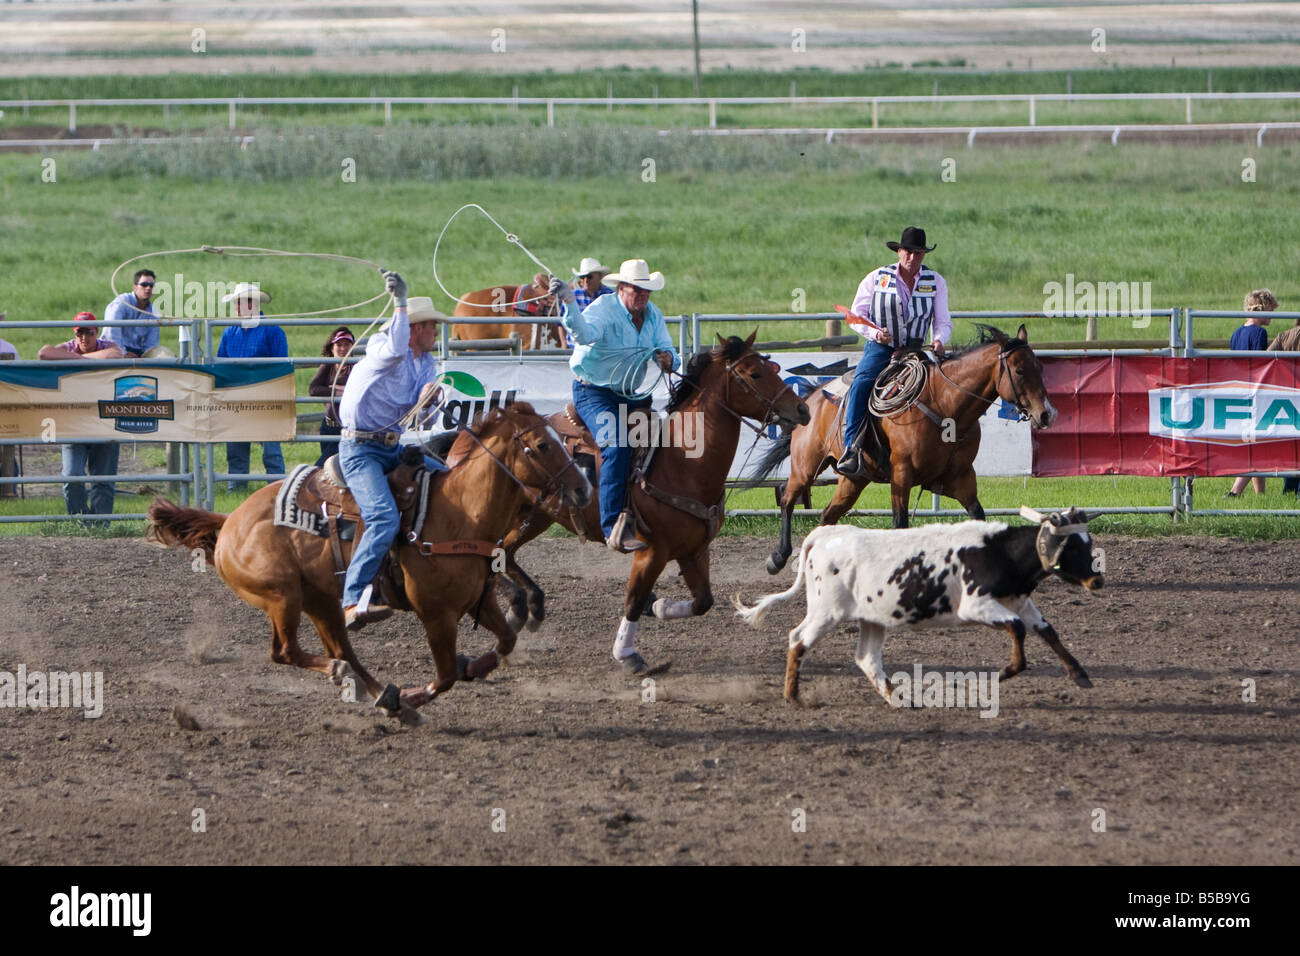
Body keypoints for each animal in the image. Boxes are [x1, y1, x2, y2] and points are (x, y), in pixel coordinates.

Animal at [146, 400, 590, 723]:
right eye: (544, 445)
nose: (584, 489)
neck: (461, 513)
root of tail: (230, 521)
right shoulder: (437, 614)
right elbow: (445, 676)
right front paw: (420, 692)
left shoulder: (480, 602)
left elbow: (505, 641)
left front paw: (468, 668)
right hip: (282, 597)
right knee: (287, 651)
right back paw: (364, 685)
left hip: (321, 600)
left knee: (343, 651)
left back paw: (382, 695)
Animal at [496, 332, 811, 676]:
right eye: (755, 374)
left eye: (773, 367)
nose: (803, 409)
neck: (683, 461)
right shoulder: (651, 552)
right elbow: (633, 600)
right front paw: (626, 653)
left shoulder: (694, 551)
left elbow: (703, 602)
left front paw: (658, 606)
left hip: (538, 515)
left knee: (505, 551)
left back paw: (527, 607)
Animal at [738, 509, 1102, 702]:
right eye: (1072, 546)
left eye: (1089, 543)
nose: (1096, 581)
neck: (1000, 551)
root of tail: (824, 535)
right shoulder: (976, 605)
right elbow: (1017, 629)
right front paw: (1006, 671)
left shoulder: (1020, 601)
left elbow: (1047, 631)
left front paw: (1080, 674)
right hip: (826, 612)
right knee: (798, 639)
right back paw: (793, 696)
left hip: (871, 618)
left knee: (866, 658)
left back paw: (899, 699)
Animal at [754, 323, 1055, 574]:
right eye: (1019, 370)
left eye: (1040, 369)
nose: (1046, 414)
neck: (944, 406)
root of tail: (810, 398)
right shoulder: (902, 474)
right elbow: (900, 524)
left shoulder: (961, 478)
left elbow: (978, 517)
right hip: (805, 466)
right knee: (787, 497)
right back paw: (778, 558)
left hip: (853, 480)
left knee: (828, 515)